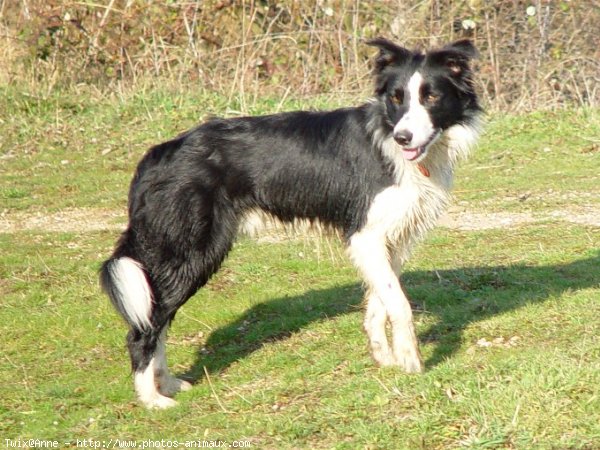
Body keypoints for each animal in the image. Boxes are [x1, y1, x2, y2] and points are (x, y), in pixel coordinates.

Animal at [98, 40, 482, 410]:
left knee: (157, 318)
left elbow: (380, 301)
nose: (403, 138)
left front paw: (384, 358)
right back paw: (152, 399)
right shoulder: (365, 235)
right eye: (397, 99)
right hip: (191, 251)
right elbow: (399, 303)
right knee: (144, 327)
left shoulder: (391, 240)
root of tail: (157, 154)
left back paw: (168, 383)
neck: (388, 136)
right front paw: (411, 360)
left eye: (431, 97)